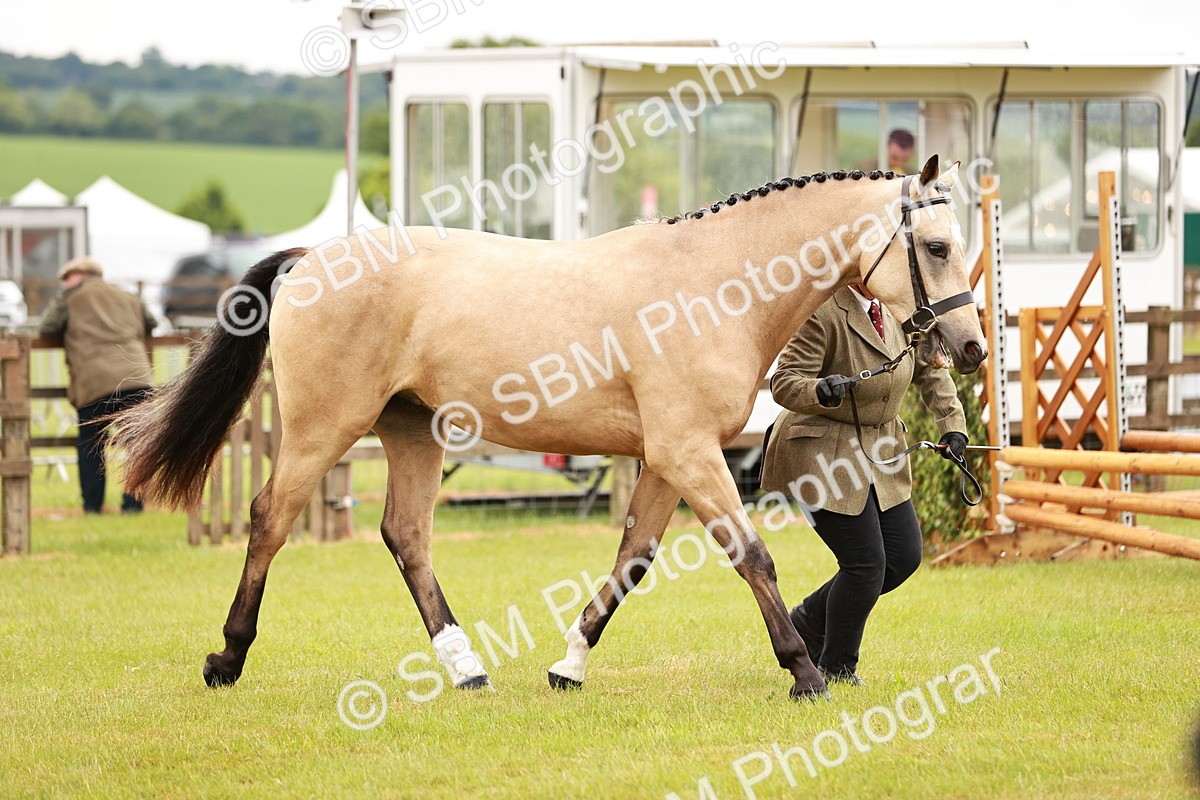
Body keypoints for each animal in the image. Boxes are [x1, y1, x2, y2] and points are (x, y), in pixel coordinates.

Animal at [113, 155, 986, 701]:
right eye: (938, 246)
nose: (972, 347)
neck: (713, 285)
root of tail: (310, 260)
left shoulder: (667, 459)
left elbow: (633, 560)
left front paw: (569, 665)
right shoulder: (690, 454)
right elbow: (753, 557)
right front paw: (804, 674)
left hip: (412, 431)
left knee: (407, 537)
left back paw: (465, 667)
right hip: (324, 429)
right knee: (271, 518)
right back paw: (227, 658)